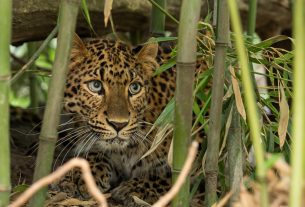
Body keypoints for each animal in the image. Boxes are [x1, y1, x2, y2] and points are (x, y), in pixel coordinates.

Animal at [54, 34, 179, 206]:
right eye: (95, 85)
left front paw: (138, 189)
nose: (119, 124)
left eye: (135, 88)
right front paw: (79, 175)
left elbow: (173, 174)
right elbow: (96, 153)